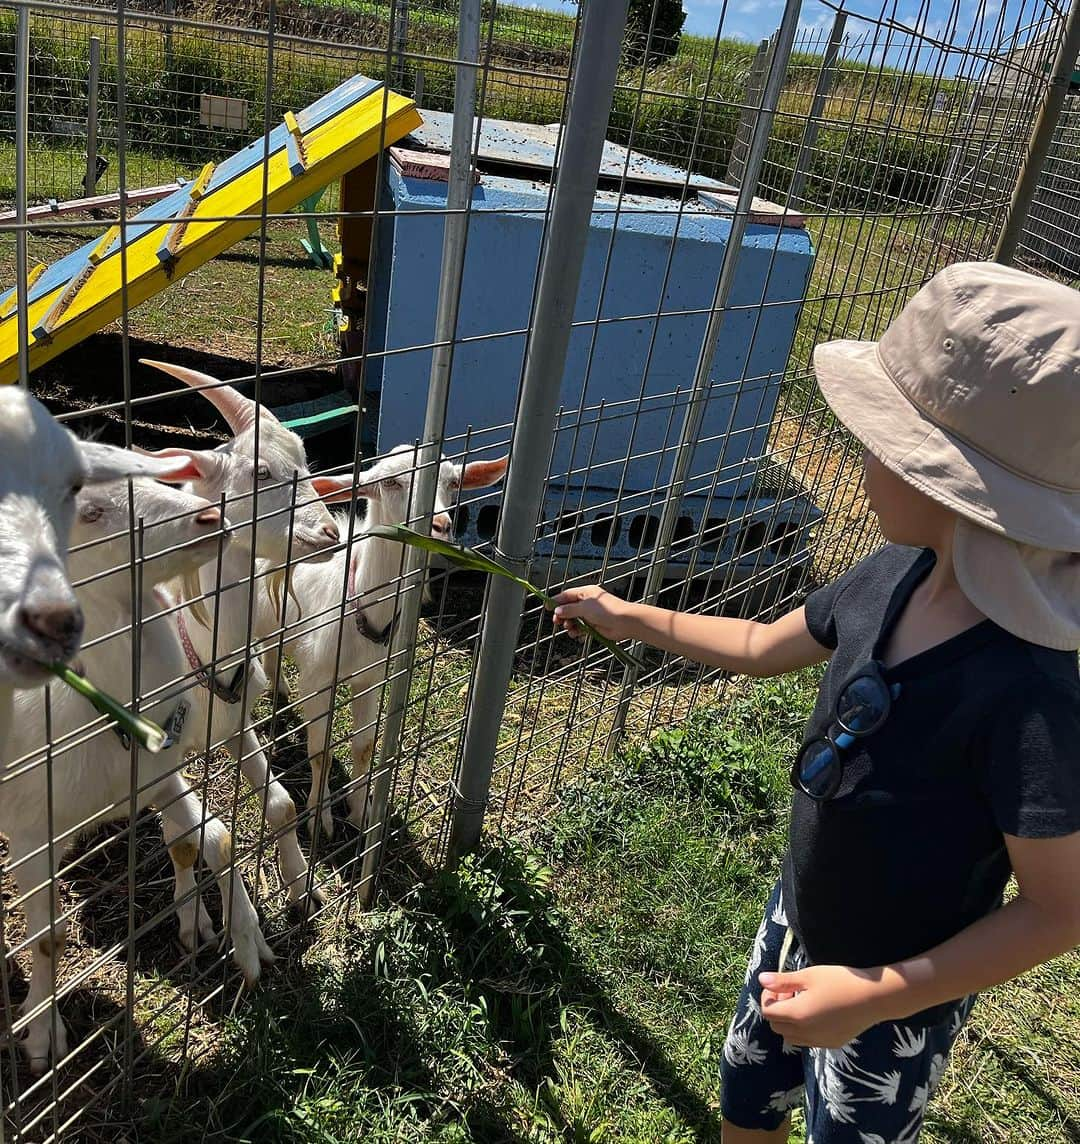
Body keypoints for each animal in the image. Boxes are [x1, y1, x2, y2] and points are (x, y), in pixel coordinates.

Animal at [7, 466, 274, 1070]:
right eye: (88, 511)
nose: (210, 516)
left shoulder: (154, 773)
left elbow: (216, 835)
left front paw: (248, 944)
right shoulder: (33, 831)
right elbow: (48, 936)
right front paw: (43, 1036)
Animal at [137, 359, 340, 910]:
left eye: (306, 459)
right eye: (260, 472)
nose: (331, 534)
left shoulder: (234, 724)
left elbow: (282, 805)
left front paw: (301, 887)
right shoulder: (158, 758)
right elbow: (193, 840)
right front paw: (206, 919)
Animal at [255, 441, 507, 837]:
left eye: (453, 482)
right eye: (390, 483)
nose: (440, 525)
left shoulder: (371, 678)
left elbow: (363, 745)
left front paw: (360, 811)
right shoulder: (319, 679)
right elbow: (321, 750)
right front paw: (319, 817)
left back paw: (278, 688)